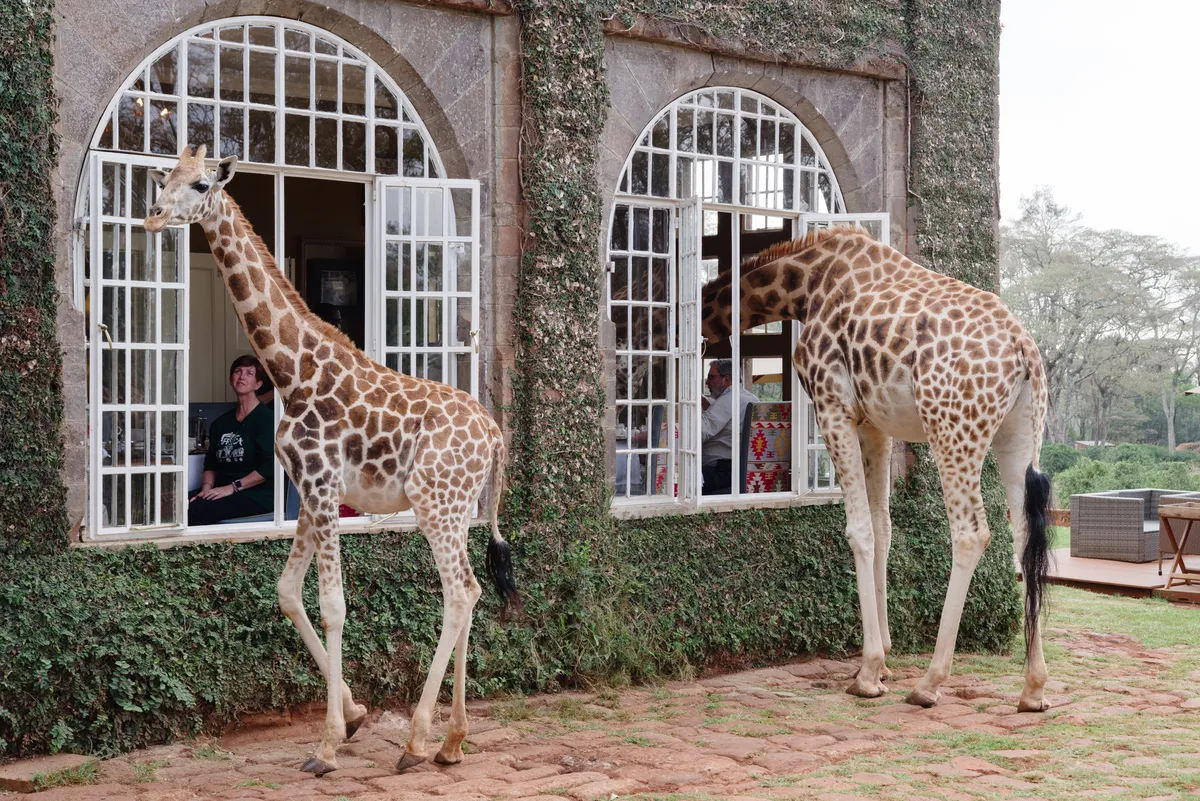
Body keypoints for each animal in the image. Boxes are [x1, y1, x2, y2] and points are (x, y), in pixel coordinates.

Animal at [143, 145, 520, 776]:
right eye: (164, 176)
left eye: (199, 184)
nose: (151, 216)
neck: (292, 373)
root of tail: (493, 434)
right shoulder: (306, 492)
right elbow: (287, 592)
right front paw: (353, 715)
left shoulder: (321, 487)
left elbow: (333, 605)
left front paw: (324, 747)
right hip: (455, 508)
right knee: (469, 592)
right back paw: (451, 742)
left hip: (435, 506)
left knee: (460, 594)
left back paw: (417, 742)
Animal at [700, 226, 1053, 712]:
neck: (804, 286)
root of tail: (1025, 352)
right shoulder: (875, 424)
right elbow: (883, 526)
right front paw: (882, 657)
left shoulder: (834, 407)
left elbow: (859, 531)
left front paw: (867, 672)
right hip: (1020, 433)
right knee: (1023, 535)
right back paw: (1033, 689)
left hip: (952, 430)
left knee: (970, 533)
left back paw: (929, 683)